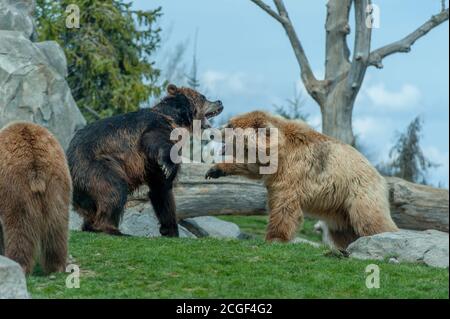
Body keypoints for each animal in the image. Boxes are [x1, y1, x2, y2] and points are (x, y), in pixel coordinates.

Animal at [0, 122, 71, 276]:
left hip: (14, 188)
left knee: (19, 228)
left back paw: (20, 264)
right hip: (57, 184)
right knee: (56, 226)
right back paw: (55, 266)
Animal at [67, 85, 223, 238]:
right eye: (203, 97)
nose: (219, 101)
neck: (176, 120)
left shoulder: (151, 166)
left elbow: (161, 190)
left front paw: (170, 230)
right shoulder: (154, 128)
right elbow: (154, 140)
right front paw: (167, 165)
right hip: (97, 165)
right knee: (114, 188)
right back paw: (113, 229)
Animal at [207, 112, 398, 250]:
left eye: (230, 125)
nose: (211, 133)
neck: (277, 151)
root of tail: (380, 176)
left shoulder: (293, 171)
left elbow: (284, 206)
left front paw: (274, 238)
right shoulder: (270, 167)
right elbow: (251, 167)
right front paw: (215, 170)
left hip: (359, 192)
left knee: (370, 219)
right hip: (339, 210)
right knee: (343, 231)